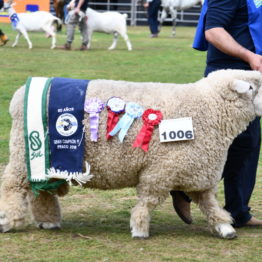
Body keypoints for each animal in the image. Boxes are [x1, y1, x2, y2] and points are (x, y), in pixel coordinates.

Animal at [0, 69, 262, 239]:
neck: (209, 109)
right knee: (13, 185)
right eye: (253, 87)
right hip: (24, 154)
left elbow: (209, 204)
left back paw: (48, 221)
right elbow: (149, 201)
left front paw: (224, 227)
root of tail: (20, 95)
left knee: (42, 192)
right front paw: (139, 228)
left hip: (47, 160)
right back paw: (8, 220)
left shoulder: (197, 170)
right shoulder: (161, 170)